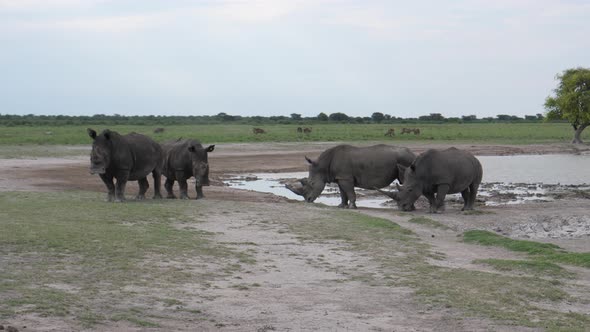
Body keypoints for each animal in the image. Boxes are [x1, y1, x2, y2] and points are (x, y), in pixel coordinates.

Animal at [286, 145, 416, 208]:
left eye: (312, 183)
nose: (308, 200)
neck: (322, 166)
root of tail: (413, 154)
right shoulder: (340, 177)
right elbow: (343, 193)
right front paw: (341, 206)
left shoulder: (345, 177)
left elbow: (349, 192)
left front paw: (352, 207)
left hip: (406, 160)